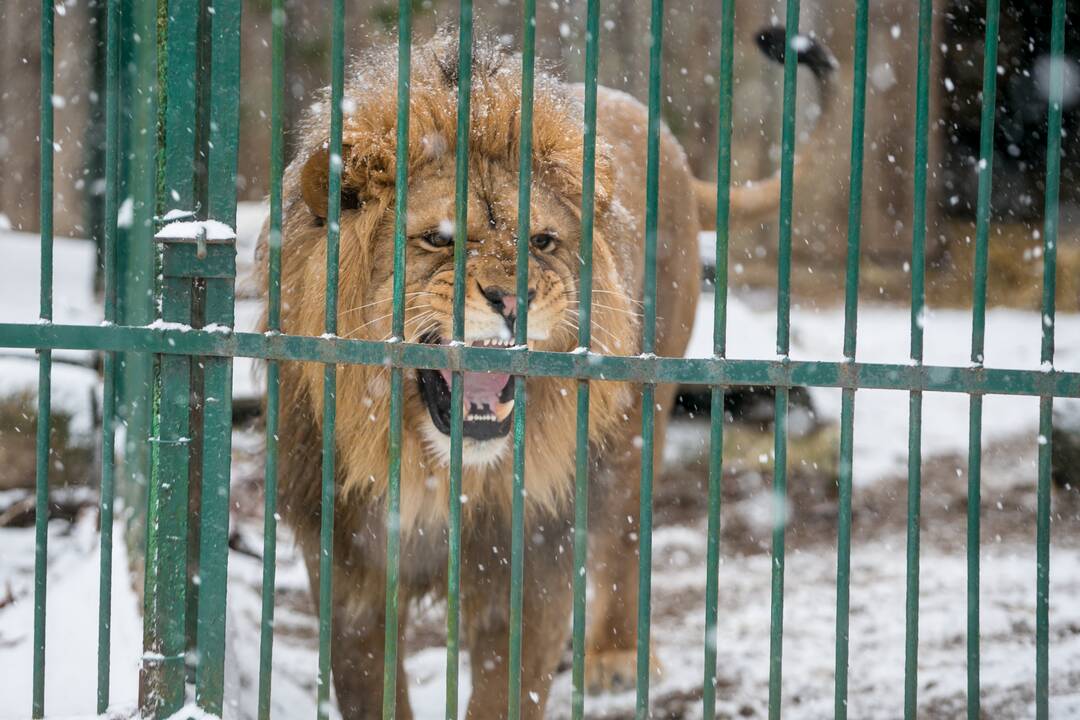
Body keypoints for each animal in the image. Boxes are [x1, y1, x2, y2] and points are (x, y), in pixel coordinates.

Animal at [261, 25, 833, 716]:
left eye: (542, 242)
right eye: (438, 239)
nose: (514, 299)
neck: (440, 472)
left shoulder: (533, 561)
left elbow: (506, 688)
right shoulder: (349, 571)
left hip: (639, 421)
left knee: (627, 533)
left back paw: (614, 656)